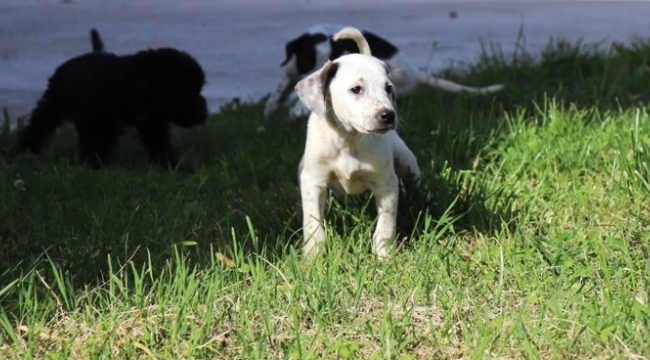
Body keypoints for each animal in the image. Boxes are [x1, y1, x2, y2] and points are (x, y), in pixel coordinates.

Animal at [17, 29, 206, 167]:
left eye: (199, 88)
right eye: (180, 87)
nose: (202, 113)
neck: (129, 85)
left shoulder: (152, 123)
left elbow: (159, 145)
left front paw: (170, 166)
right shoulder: (93, 120)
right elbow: (92, 143)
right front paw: (92, 165)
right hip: (52, 104)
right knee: (38, 125)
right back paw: (26, 150)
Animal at [294, 28, 420, 258]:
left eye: (389, 88)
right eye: (356, 89)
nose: (388, 115)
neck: (349, 140)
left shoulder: (387, 182)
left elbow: (386, 223)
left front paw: (384, 254)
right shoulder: (313, 181)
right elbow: (313, 222)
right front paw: (313, 256)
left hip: (406, 161)